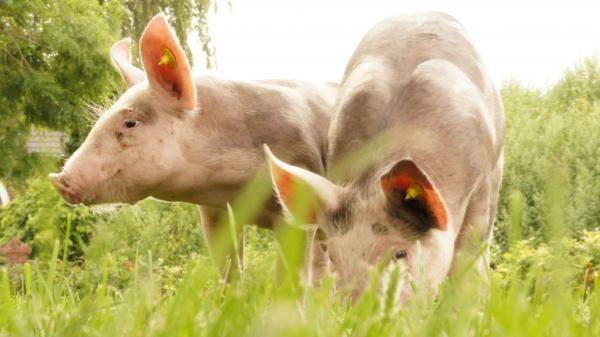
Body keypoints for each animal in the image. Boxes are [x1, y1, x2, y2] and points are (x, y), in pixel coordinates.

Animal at [48, 13, 336, 276]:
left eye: (130, 123)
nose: (59, 179)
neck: (227, 186)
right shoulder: (214, 213)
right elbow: (228, 270)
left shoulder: (299, 198)